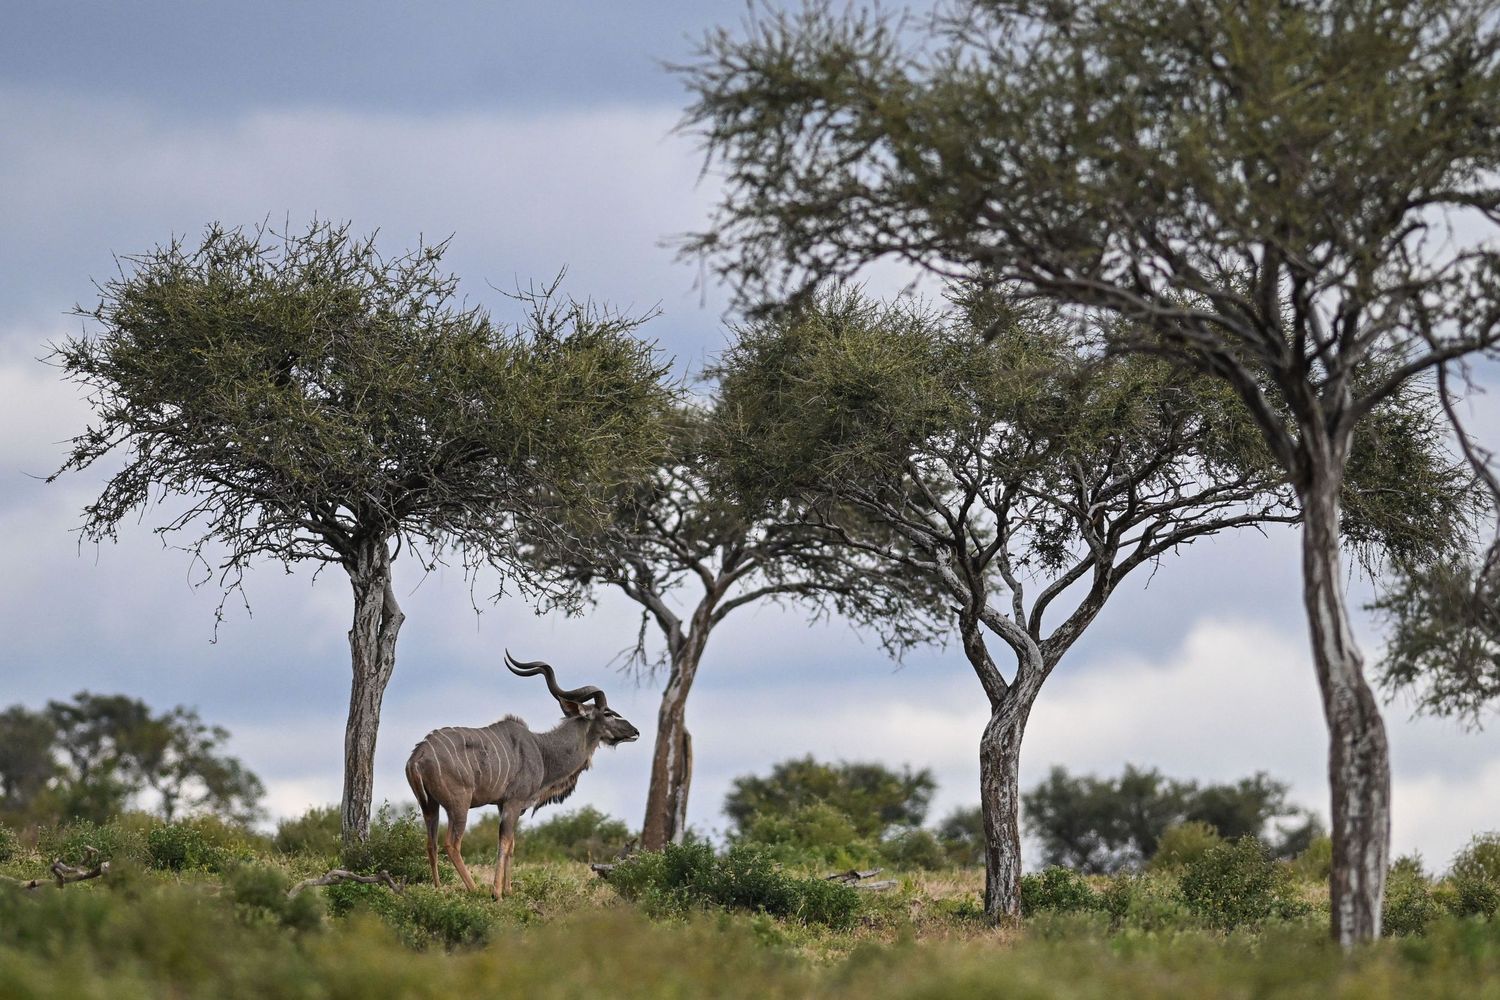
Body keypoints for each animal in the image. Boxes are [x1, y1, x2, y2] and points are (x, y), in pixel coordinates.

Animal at [404, 651, 640, 897]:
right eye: (608, 713)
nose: (635, 731)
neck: (542, 749)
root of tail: (418, 755)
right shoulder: (513, 802)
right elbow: (504, 842)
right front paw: (497, 893)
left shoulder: (503, 804)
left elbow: (511, 845)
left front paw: (508, 890)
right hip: (458, 804)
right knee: (451, 843)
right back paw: (475, 889)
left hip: (430, 806)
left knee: (430, 843)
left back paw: (438, 889)